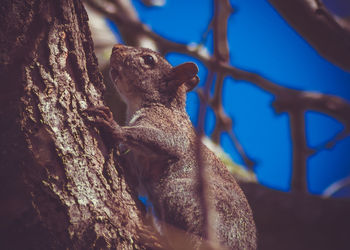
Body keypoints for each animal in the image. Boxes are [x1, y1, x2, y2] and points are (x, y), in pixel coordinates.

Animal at [84, 44, 258, 249]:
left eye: (148, 60)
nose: (116, 47)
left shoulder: (169, 128)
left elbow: (165, 142)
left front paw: (113, 126)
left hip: (184, 196)